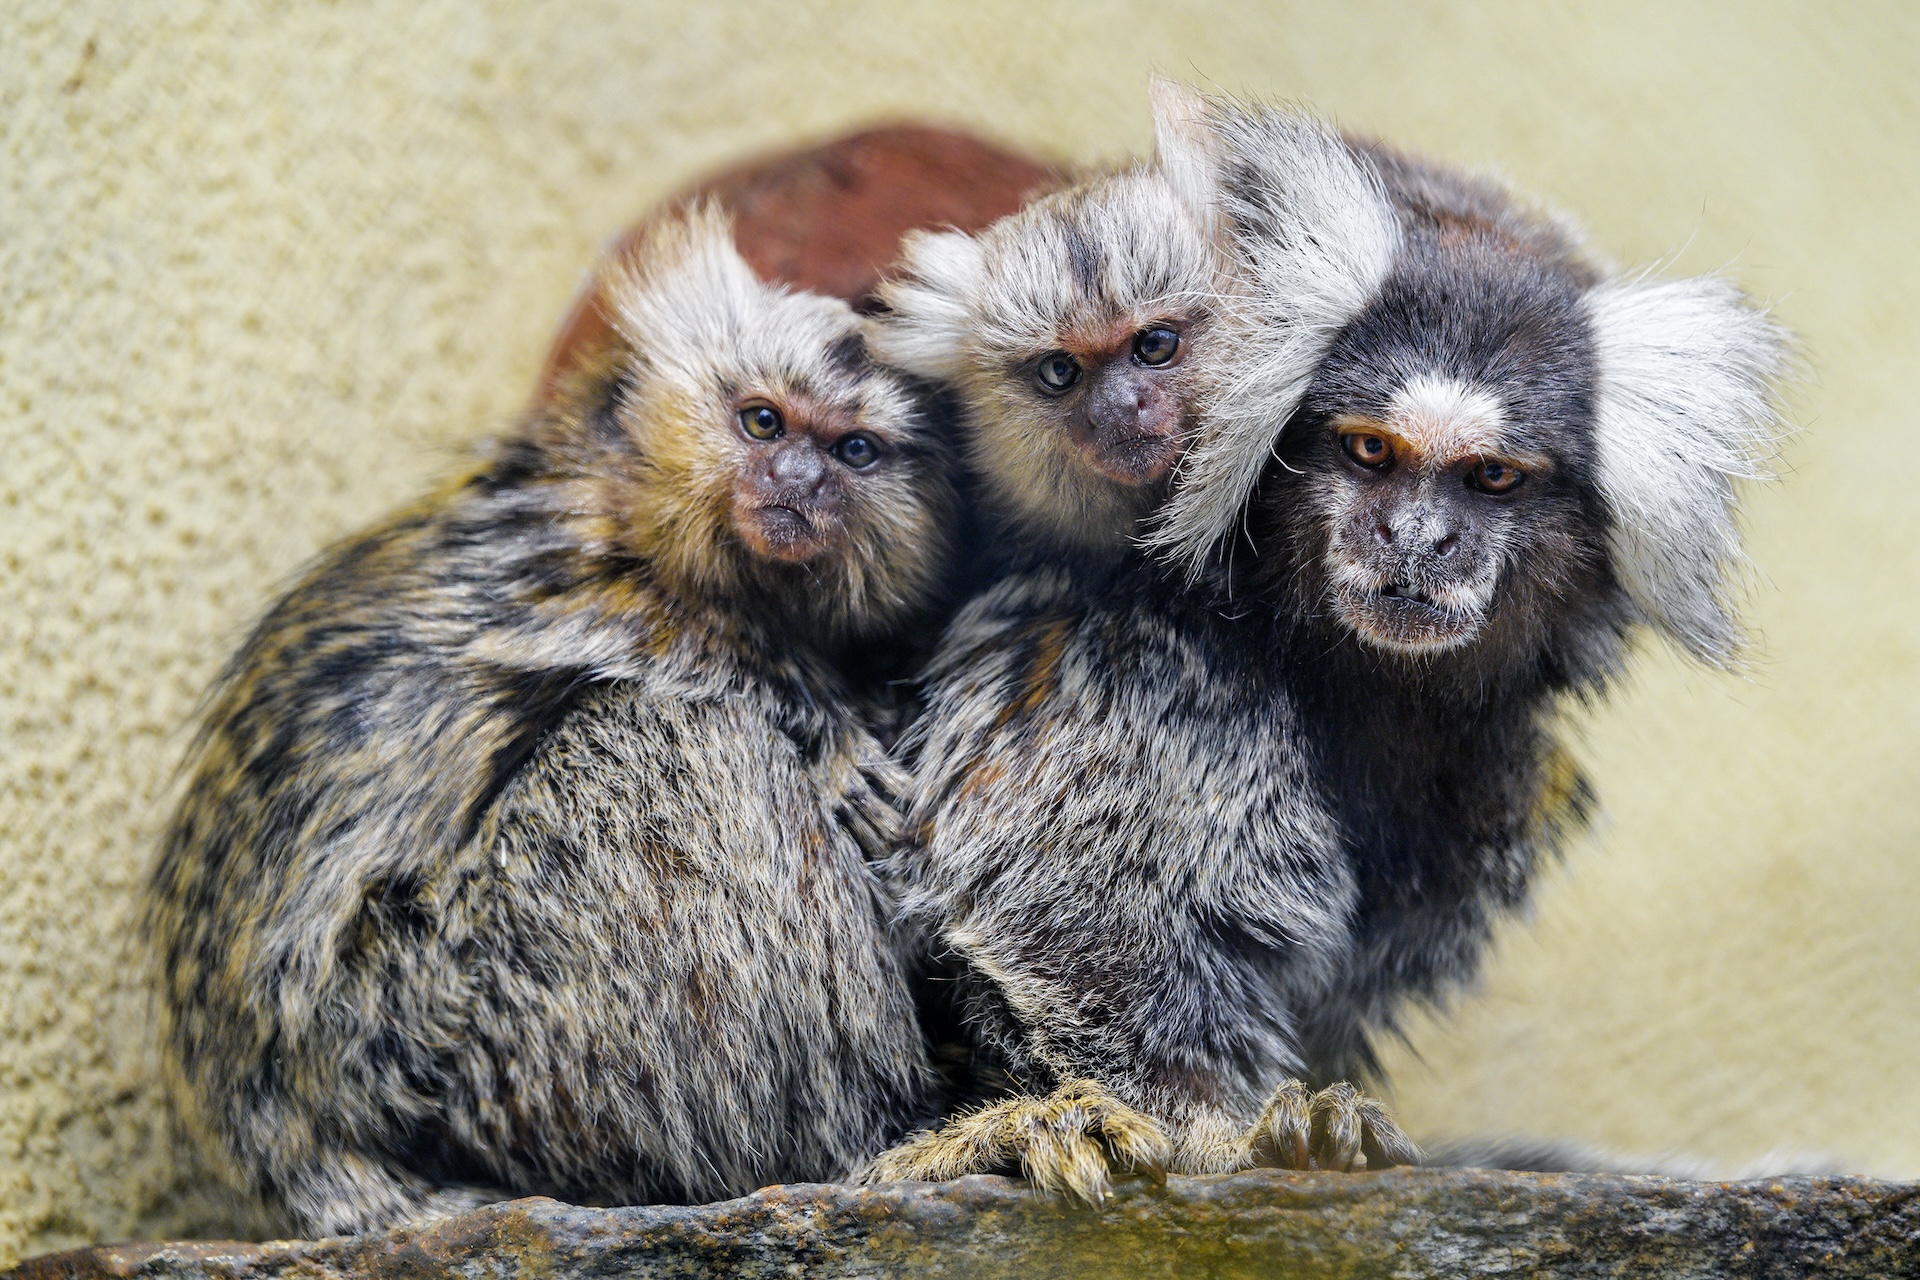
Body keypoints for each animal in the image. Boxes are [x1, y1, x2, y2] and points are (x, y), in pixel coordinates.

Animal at [145, 210, 956, 1243]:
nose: (796, 480)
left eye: (854, 451)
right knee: (680, 739)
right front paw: (825, 725)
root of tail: (277, 1128)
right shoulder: (556, 546)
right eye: (763, 422)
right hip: (439, 1028)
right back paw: (868, 1139)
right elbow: (654, 637)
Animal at [879, 90, 1789, 1205]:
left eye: (1492, 477)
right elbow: (1081, 916)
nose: (1417, 541)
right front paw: (1222, 1137)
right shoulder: (1128, 655)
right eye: (1368, 452)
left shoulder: (1488, 766)